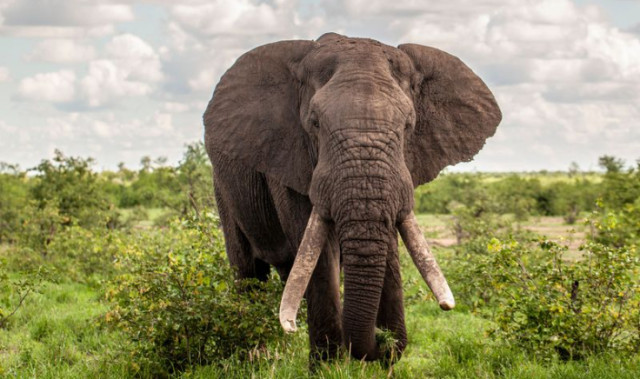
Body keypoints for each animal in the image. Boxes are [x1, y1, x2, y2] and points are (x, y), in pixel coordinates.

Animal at [202, 33, 502, 366]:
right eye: (315, 123)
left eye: (408, 125)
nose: (378, 344)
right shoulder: (290, 160)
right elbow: (319, 253)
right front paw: (328, 363)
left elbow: (389, 242)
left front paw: (384, 354)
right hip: (222, 187)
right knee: (247, 272)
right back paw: (258, 357)